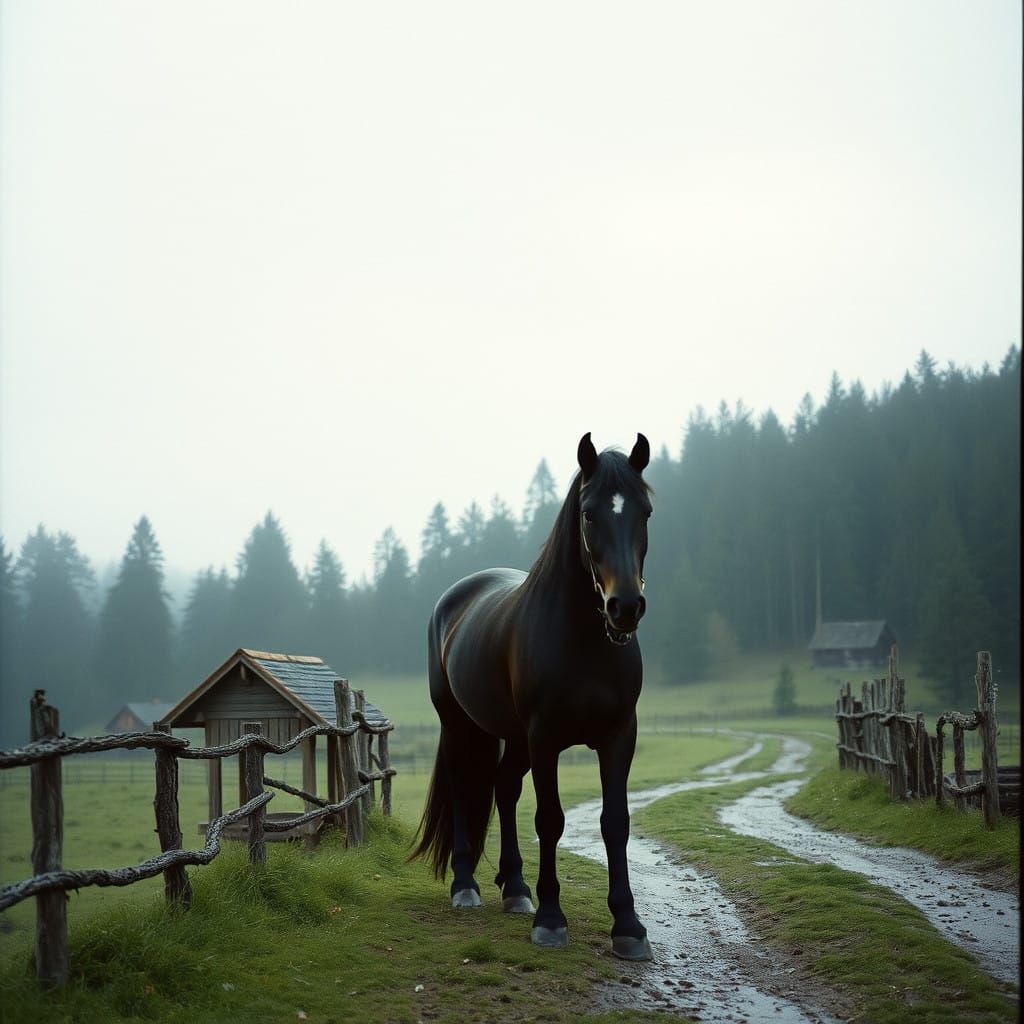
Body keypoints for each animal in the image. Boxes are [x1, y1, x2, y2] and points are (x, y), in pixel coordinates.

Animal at [411, 432, 654, 961]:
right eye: (589, 514)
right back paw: (467, 886)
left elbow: (616, 822)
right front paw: (551, 919)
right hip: (461, 725)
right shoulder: (545, 738)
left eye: (645, 511)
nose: (624, 607)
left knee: (503, 788)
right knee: (465, 787)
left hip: (513, 736)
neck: (584, 641)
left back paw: (516, 887)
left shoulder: (619, 736)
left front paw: (628, 925)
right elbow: (550, 820)